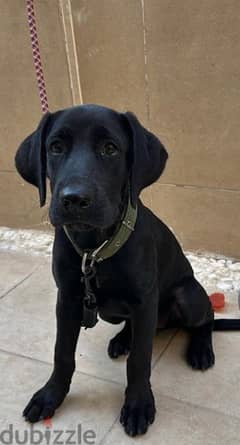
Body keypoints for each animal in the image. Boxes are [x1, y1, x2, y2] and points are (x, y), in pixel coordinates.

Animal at [16, 104, 216, 434]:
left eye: (110, 149)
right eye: (55, 147)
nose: (74, 199)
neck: (94, 250)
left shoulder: (144, 302)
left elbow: (140, 361)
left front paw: (138, 405)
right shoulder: (67, 300)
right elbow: (62, 353)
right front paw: (50, 395)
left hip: (187, 295)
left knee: (206, 318)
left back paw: (200, 349)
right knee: (134, 327)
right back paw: (122, 340)